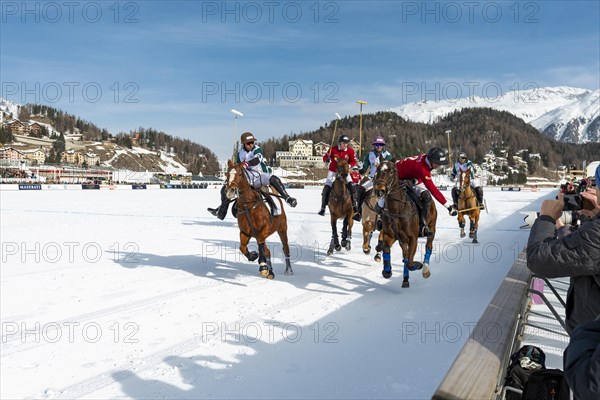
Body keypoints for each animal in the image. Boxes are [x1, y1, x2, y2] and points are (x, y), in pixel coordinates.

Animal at [372, 159, 438, 288]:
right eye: (377, 170)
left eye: (392, 171)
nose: (379, 190)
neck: (397, 210)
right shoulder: (390, 235)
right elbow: (387, 249)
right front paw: (387, 271)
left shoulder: (413, 237)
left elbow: (411, 263)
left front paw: (418, 265)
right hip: (402, 240)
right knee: (405, 255)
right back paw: (405, 279)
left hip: (432, 227)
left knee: (428, 246)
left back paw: (425, 270)